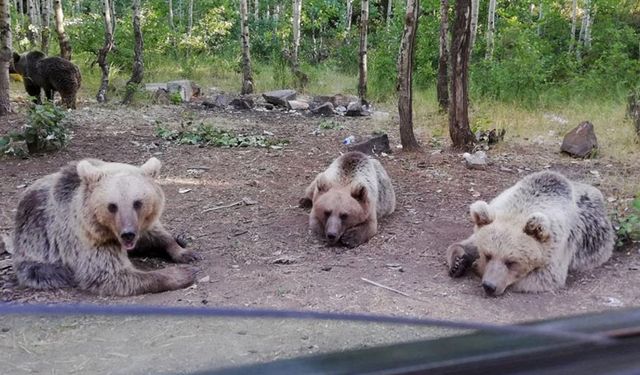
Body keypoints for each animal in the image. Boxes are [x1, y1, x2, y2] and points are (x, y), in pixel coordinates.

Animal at [11, 157, 198, 296]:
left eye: (137, 203)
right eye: (112, 206)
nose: (128, 234)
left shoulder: (140, 226)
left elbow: (156, 235)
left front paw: (184, 251)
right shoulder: (89, 239)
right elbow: (111, 274)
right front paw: (182, 274)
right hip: (35, 251)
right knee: (44, 271)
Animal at [444, 170, 616, 296]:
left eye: (511, 261)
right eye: (488, 255)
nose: (489, 286)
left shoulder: (558, 247)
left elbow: (545, 277)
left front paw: (475, 266)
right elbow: (469, 242)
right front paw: (458, 262)